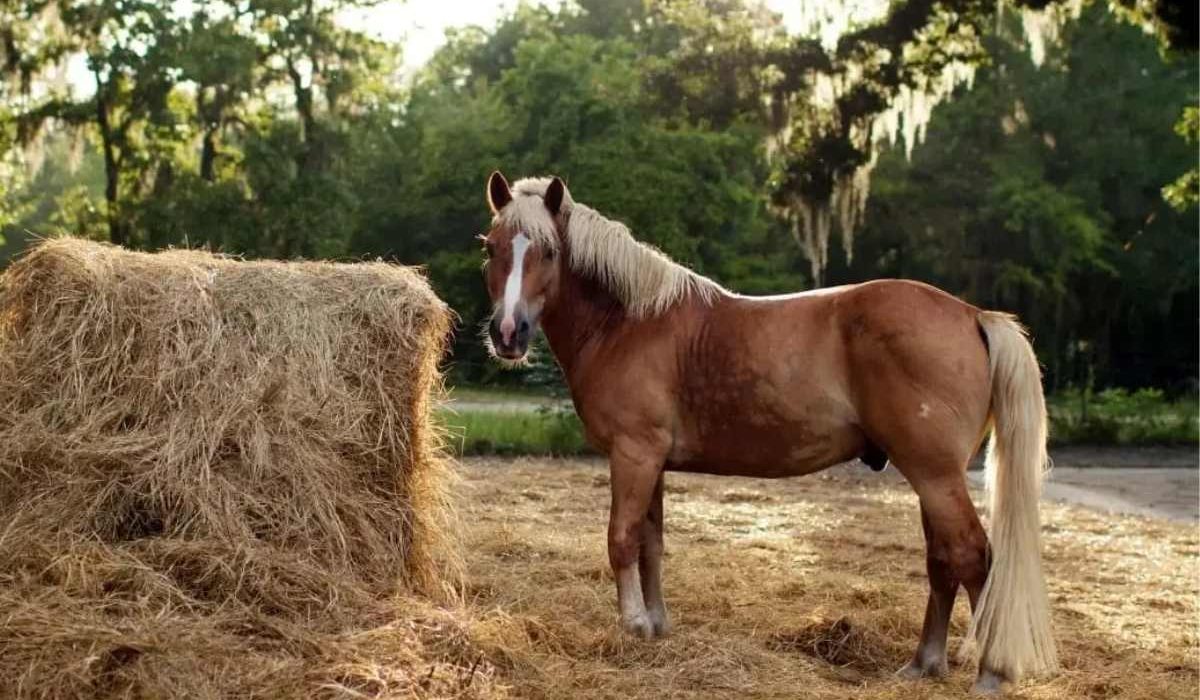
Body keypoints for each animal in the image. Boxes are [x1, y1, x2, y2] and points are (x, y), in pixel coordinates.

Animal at [477, 171, 1058, 693]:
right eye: (492, 250)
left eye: (549, 252)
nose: (508, 333)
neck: (629, 322)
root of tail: (973, 315)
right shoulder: (652, 461)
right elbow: (651, 543)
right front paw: (658, 625)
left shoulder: (633, 454)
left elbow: (621, 539)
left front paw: (634, 624)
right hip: (932, 476)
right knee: (943, 560)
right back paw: (923, 664)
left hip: (935, 474)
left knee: (973, 556)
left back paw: (989, 674)